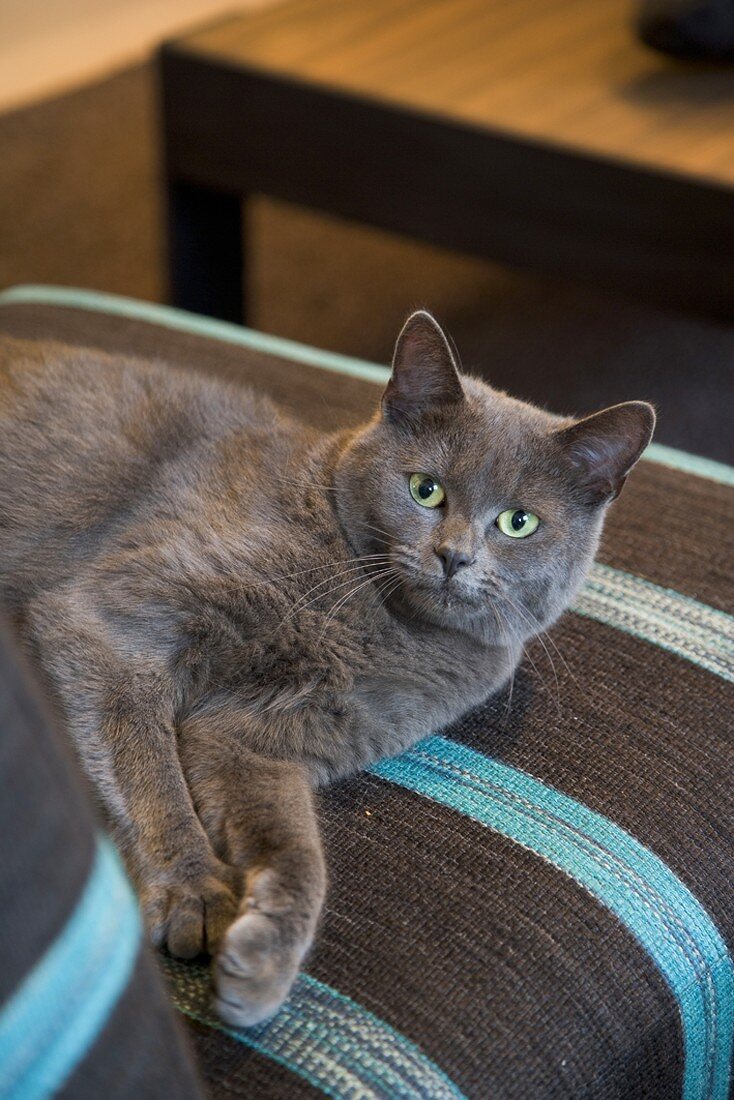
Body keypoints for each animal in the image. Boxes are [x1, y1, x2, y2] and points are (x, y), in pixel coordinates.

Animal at [0, 314, 655, 1025]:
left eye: (519, 522)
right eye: (425, 489)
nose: (454, 556)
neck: (370, 618)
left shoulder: (272, 733)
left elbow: (295, 844)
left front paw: (262, 961)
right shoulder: (111, 624)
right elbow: (149, 771)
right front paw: (195, 893)